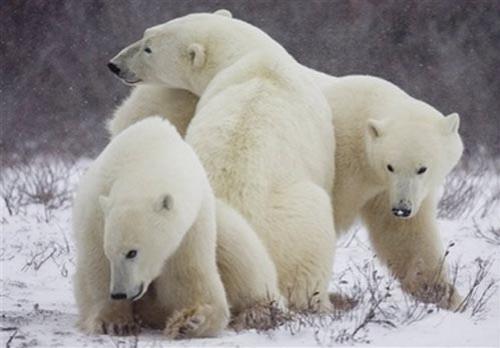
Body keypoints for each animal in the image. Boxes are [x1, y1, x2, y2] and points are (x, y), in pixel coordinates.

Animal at [74, 117, 282, 338]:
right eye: (110, 253)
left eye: (132, 252)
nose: (119, 293)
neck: (148, 153)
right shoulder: (95, 213)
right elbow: (96, 266)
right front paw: (115, 323)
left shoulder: (191, 226)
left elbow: (189, 276)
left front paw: (190, 321)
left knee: (241, 251)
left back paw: (257, 313)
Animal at [324, 75, 464, 308]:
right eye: (391, 166)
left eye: (422, 168)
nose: (401, 209)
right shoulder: (343, 169)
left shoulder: (384, 189)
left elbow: (405, 235)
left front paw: (443, 295)